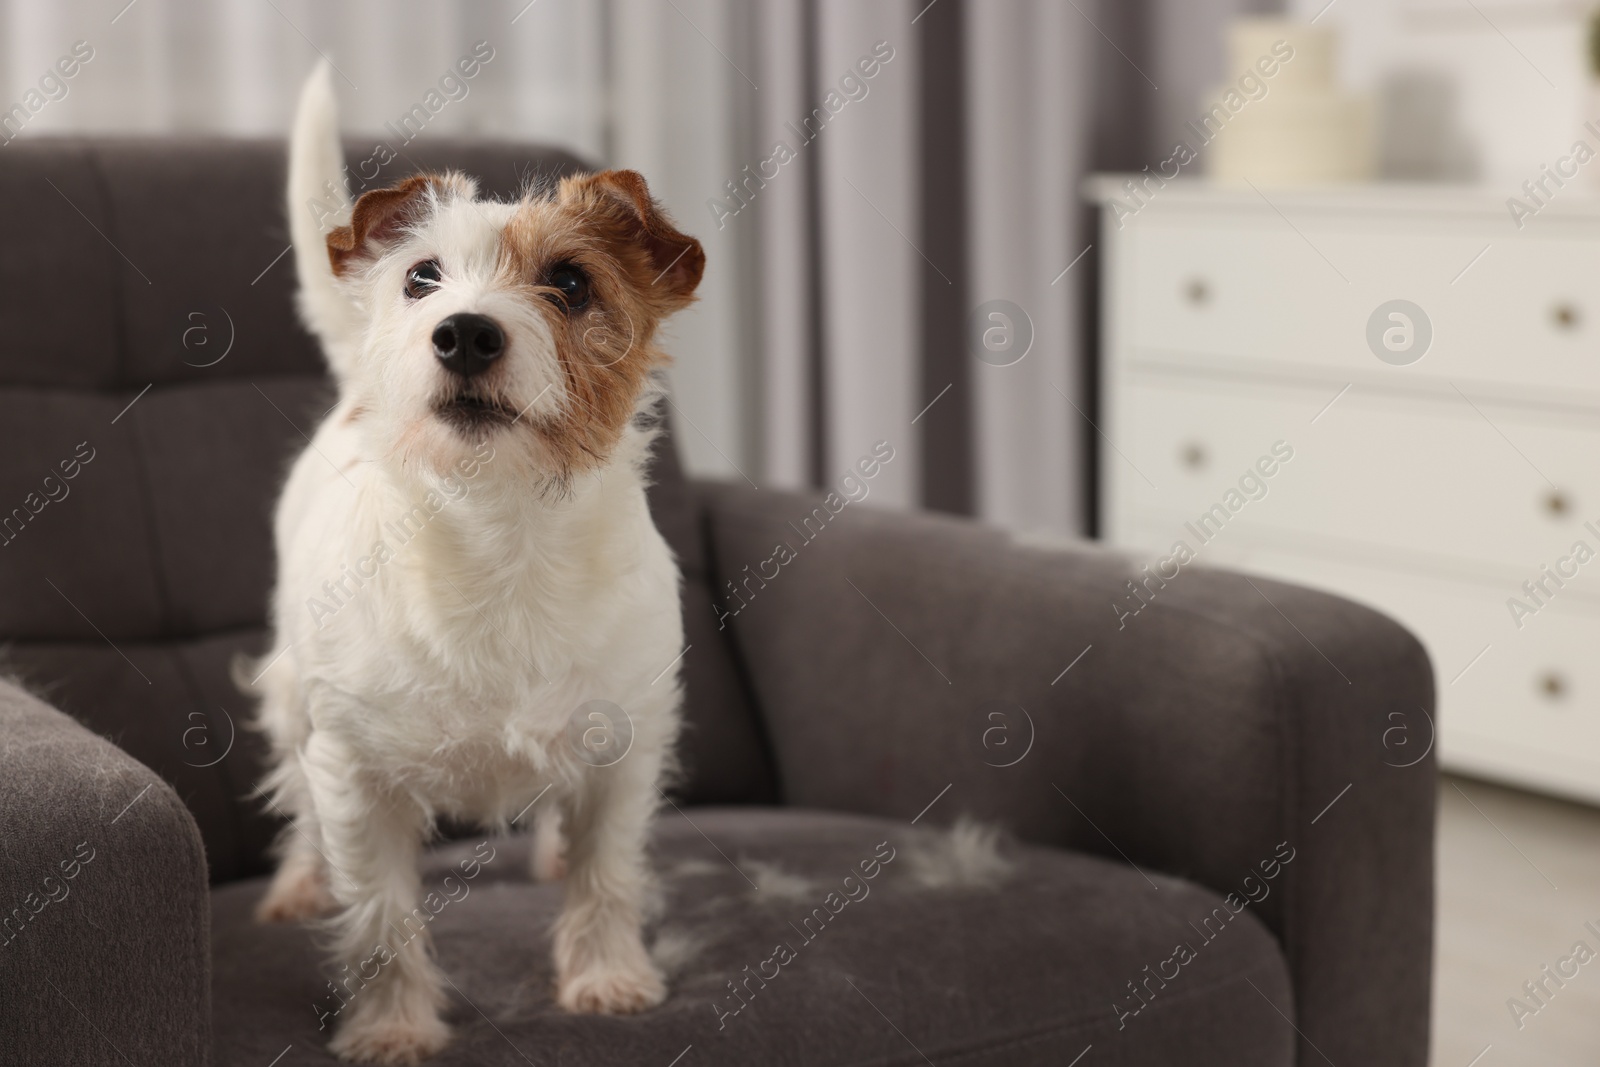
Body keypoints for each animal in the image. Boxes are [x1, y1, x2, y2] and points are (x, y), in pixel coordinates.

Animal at [241, 62, 700, 1062]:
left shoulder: (628, 750)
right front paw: (392, 1026)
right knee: (295, 796)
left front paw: (607, 977)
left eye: (569, 281)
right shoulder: (355, 776)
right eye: (422, 278)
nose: (462, 333)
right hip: (293, 695)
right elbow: (379, 918)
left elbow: (608, 873)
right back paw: (298, 883)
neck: (503, 538)